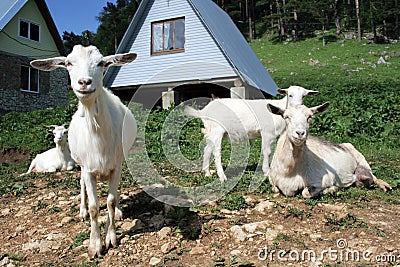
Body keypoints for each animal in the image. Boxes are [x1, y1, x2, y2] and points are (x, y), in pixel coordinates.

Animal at [30, 45, 138, 258]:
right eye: (68, 63)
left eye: (102, 63)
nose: (84, 82)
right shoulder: (87, 169)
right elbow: (95, 207)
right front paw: (95, 245)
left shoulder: (116, 166)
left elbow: (111, 201)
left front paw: (111, 237)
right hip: (81, 165)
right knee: (81, 187)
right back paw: (82, 211)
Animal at [183, 86, 318, 182]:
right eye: (289, 94)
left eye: (304, 96)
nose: (297, 106)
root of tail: (203, 111)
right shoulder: (267, 132)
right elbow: (267, 152)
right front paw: (266, 171)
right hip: (217, 130)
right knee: (217, 152)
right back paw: (222, 176)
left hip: (211, 131)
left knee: (207, 149)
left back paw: (207, 173)